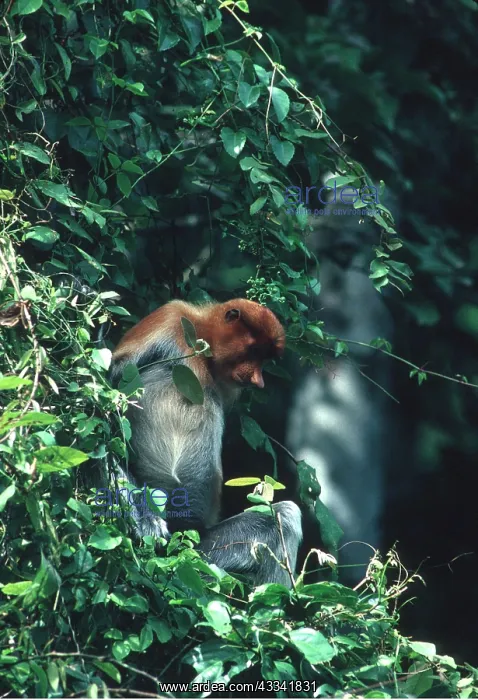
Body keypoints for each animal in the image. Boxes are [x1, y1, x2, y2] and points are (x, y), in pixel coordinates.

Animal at [110, 299, 302, 587]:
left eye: (265, 360)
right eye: (255, 351)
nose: (258, 380)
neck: (203, 351)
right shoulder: (168, 318)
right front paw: (147, 518)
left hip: (206, 553)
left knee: (285, 516)